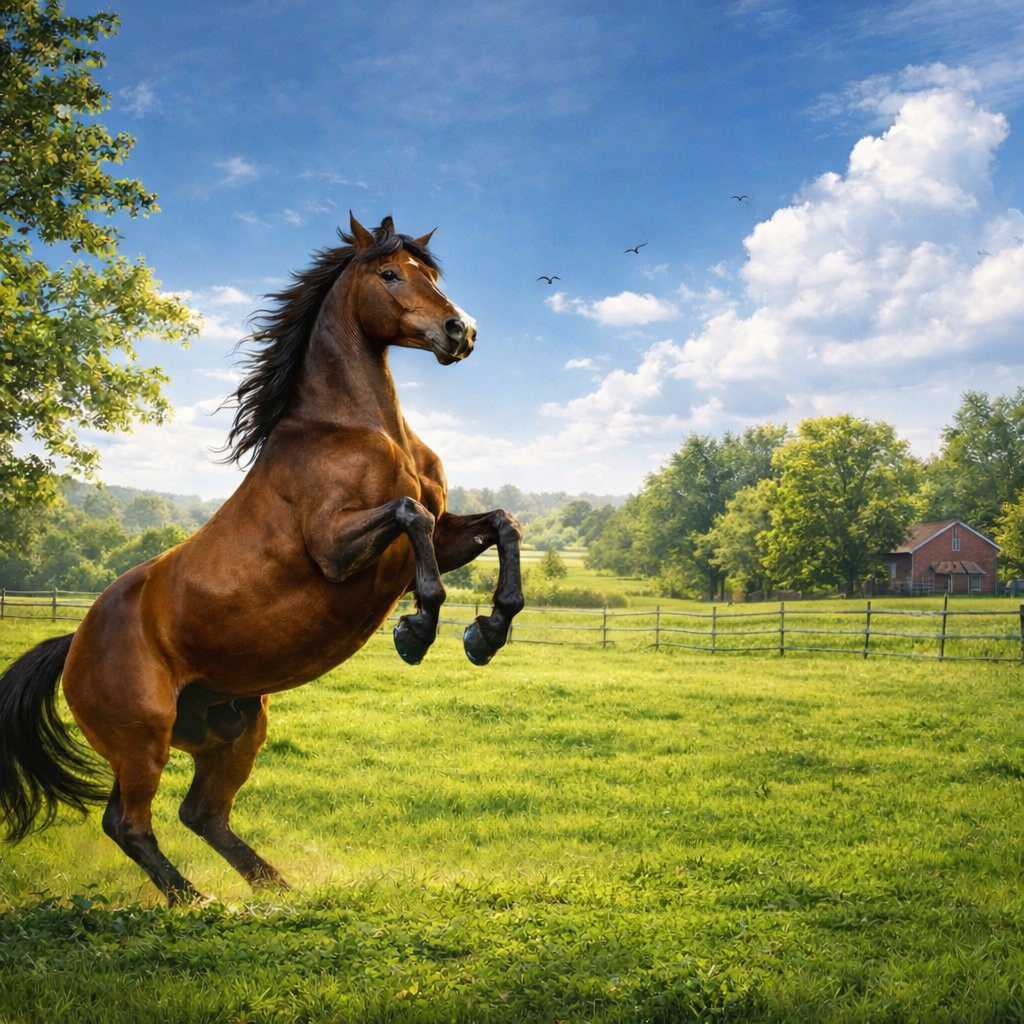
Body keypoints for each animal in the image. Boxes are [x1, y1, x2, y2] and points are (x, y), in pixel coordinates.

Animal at [0, 214, 525, 904]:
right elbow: (409, 517)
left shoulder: (445, 534)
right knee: (129, 823)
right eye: (389, 274)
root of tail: (73, 642)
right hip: (142, 740)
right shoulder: (338, 549)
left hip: (234, 727)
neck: (355, 430)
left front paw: (486, 632)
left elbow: (503, 524)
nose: (460, 332)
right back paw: (198, 903)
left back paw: (276, 892)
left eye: (431, 275)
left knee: (201, 814)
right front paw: (416, 630)